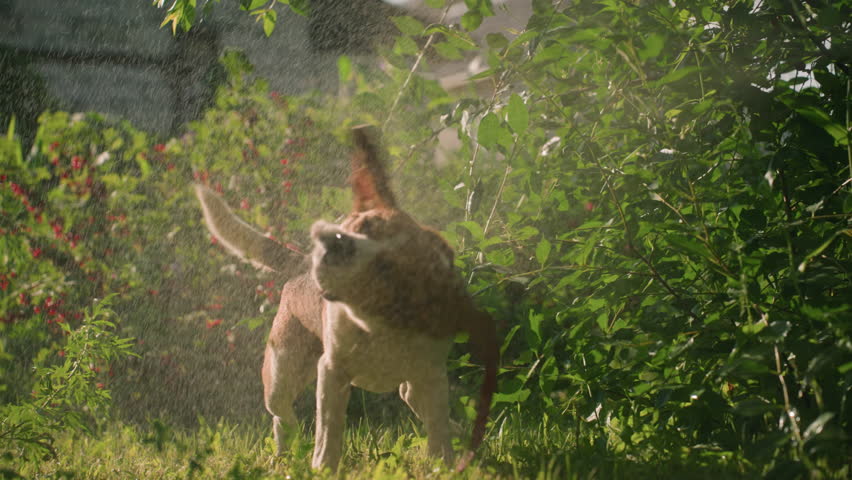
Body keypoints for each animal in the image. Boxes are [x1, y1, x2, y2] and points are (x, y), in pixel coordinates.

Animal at [196, 125, 496, 470]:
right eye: (348, 226)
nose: (327, 243)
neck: (383, 324)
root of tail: (299, 268)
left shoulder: (431, 372)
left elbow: (437, 424)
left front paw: (443, 463)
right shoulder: (331, 372)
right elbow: (329, 428)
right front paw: (323, 467)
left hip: (412, 380)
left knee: (417, 401)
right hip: (281, 373)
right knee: (281, 415)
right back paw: (286, 453)